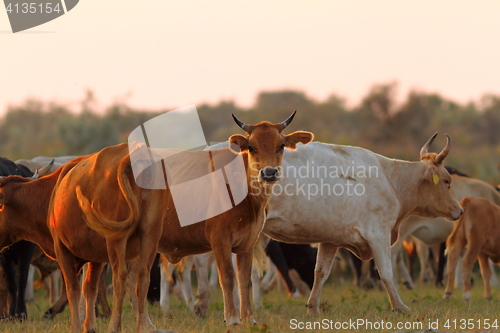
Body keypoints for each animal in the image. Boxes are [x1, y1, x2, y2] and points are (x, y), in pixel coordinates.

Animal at [47, 112, 312, 332]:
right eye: (252, 147)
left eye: (280, 146)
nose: (269, 173)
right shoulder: (220, 241)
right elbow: (227, 277)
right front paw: (233, 318)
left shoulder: (247, 244)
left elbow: (244, 279)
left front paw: (249, 319)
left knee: (128, 281)